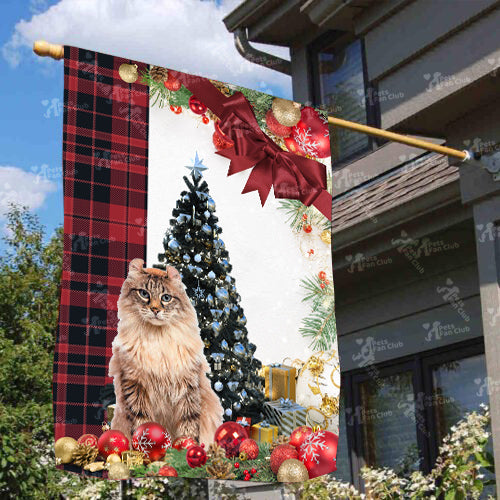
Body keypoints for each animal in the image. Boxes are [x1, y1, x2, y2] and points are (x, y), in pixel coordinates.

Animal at [109, 258, 223, 446]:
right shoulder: (134, 385)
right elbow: (142, 422)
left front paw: (187, 447)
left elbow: (188, 424)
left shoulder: (188, 386)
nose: (155, 310)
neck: (158, 339)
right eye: (144, 294)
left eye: (166, 298)